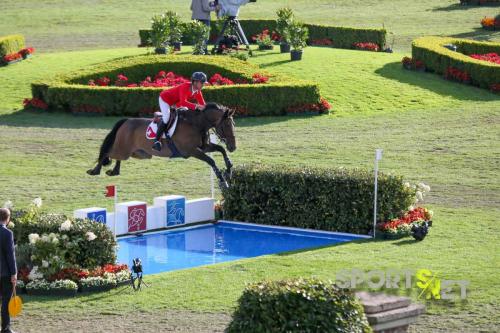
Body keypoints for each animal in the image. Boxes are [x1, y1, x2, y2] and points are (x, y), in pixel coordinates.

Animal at [87, 102, 237, 188]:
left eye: (233, 124)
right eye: (226, 125)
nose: (233, 147)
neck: (197, 124)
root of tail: (126, 121)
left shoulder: (204, 147)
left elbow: (221, 149)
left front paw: (229, 169)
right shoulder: (191, 151)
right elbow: (211, 160)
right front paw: (223, 181)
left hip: (136, 153)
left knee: (116, 157)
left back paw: (114, 171)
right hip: (124, 149)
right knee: (108, 153)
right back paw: (95, 171)